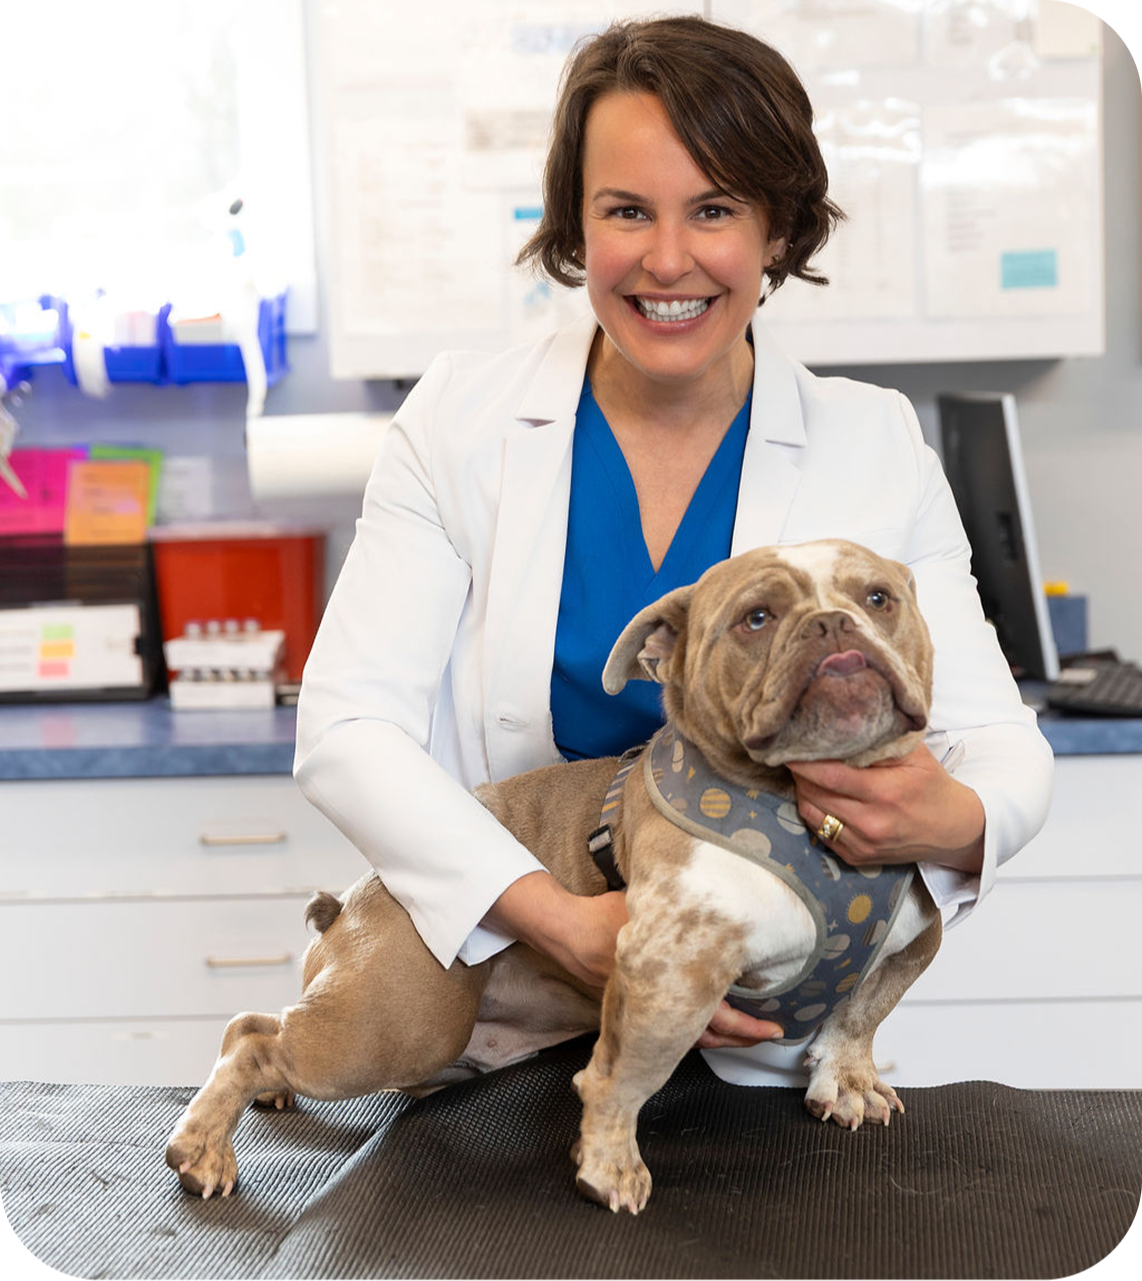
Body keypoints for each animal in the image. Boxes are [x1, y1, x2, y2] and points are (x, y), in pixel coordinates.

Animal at [165, 539, 942, 1214]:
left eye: (879, 598)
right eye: (757, 617)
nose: (833, 623)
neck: (808, 808)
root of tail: (353, 901)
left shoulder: (915, 941)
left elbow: (862, 1013)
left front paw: (849, 1080)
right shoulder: (669, 969)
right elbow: (628, 1075)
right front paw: (610, 1164)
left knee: (269, 1025)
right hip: (395, 1027)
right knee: (253, 1037)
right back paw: (203, 1146)